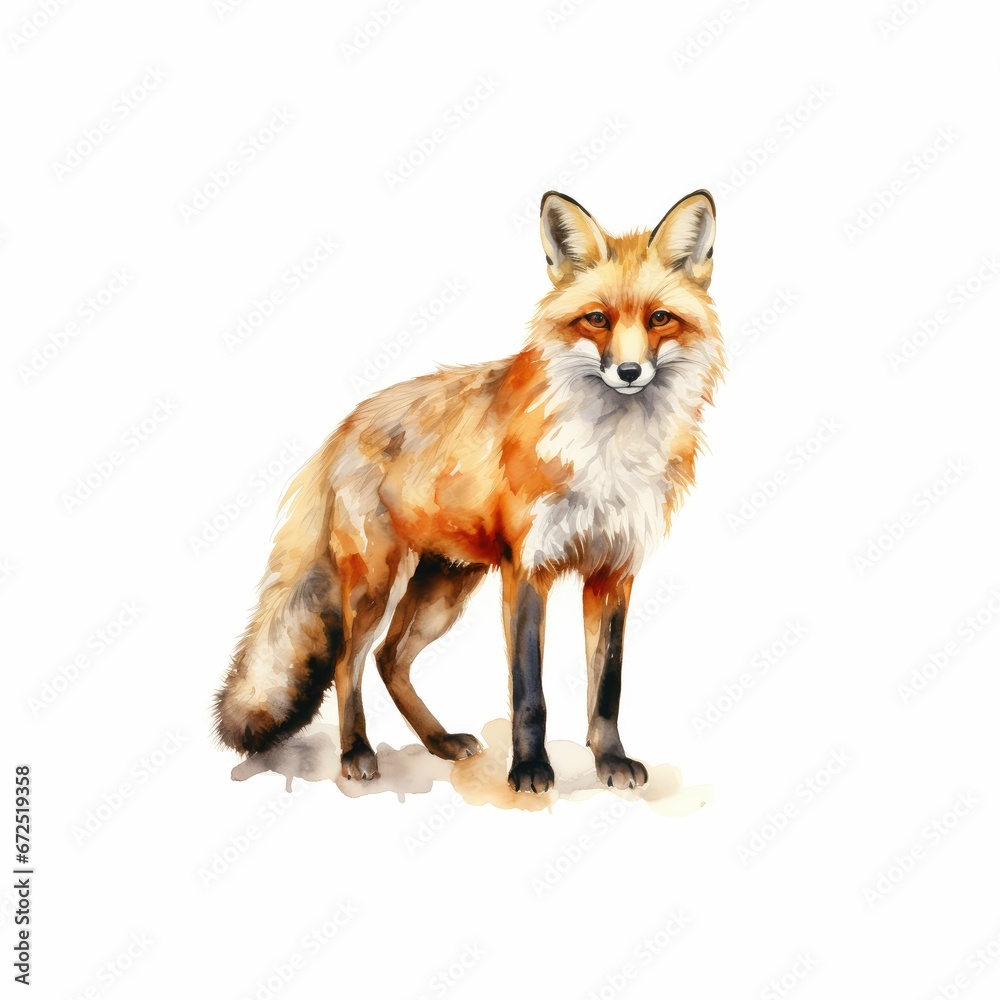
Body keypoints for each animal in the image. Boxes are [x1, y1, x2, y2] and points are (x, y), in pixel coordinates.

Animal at [214, 189, 723, 794]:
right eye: (596, 319)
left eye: (660, 318)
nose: (627, 371)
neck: (608, 452)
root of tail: (345, 425)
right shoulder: (527, 569)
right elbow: (529, 693)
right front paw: (530, 769)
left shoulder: (612, 571)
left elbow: (608, 688)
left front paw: (610, 761)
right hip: (377, 584)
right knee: (347, 662)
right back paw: (356, 751)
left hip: (446, 588)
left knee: (390, 659)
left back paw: (439, 741)